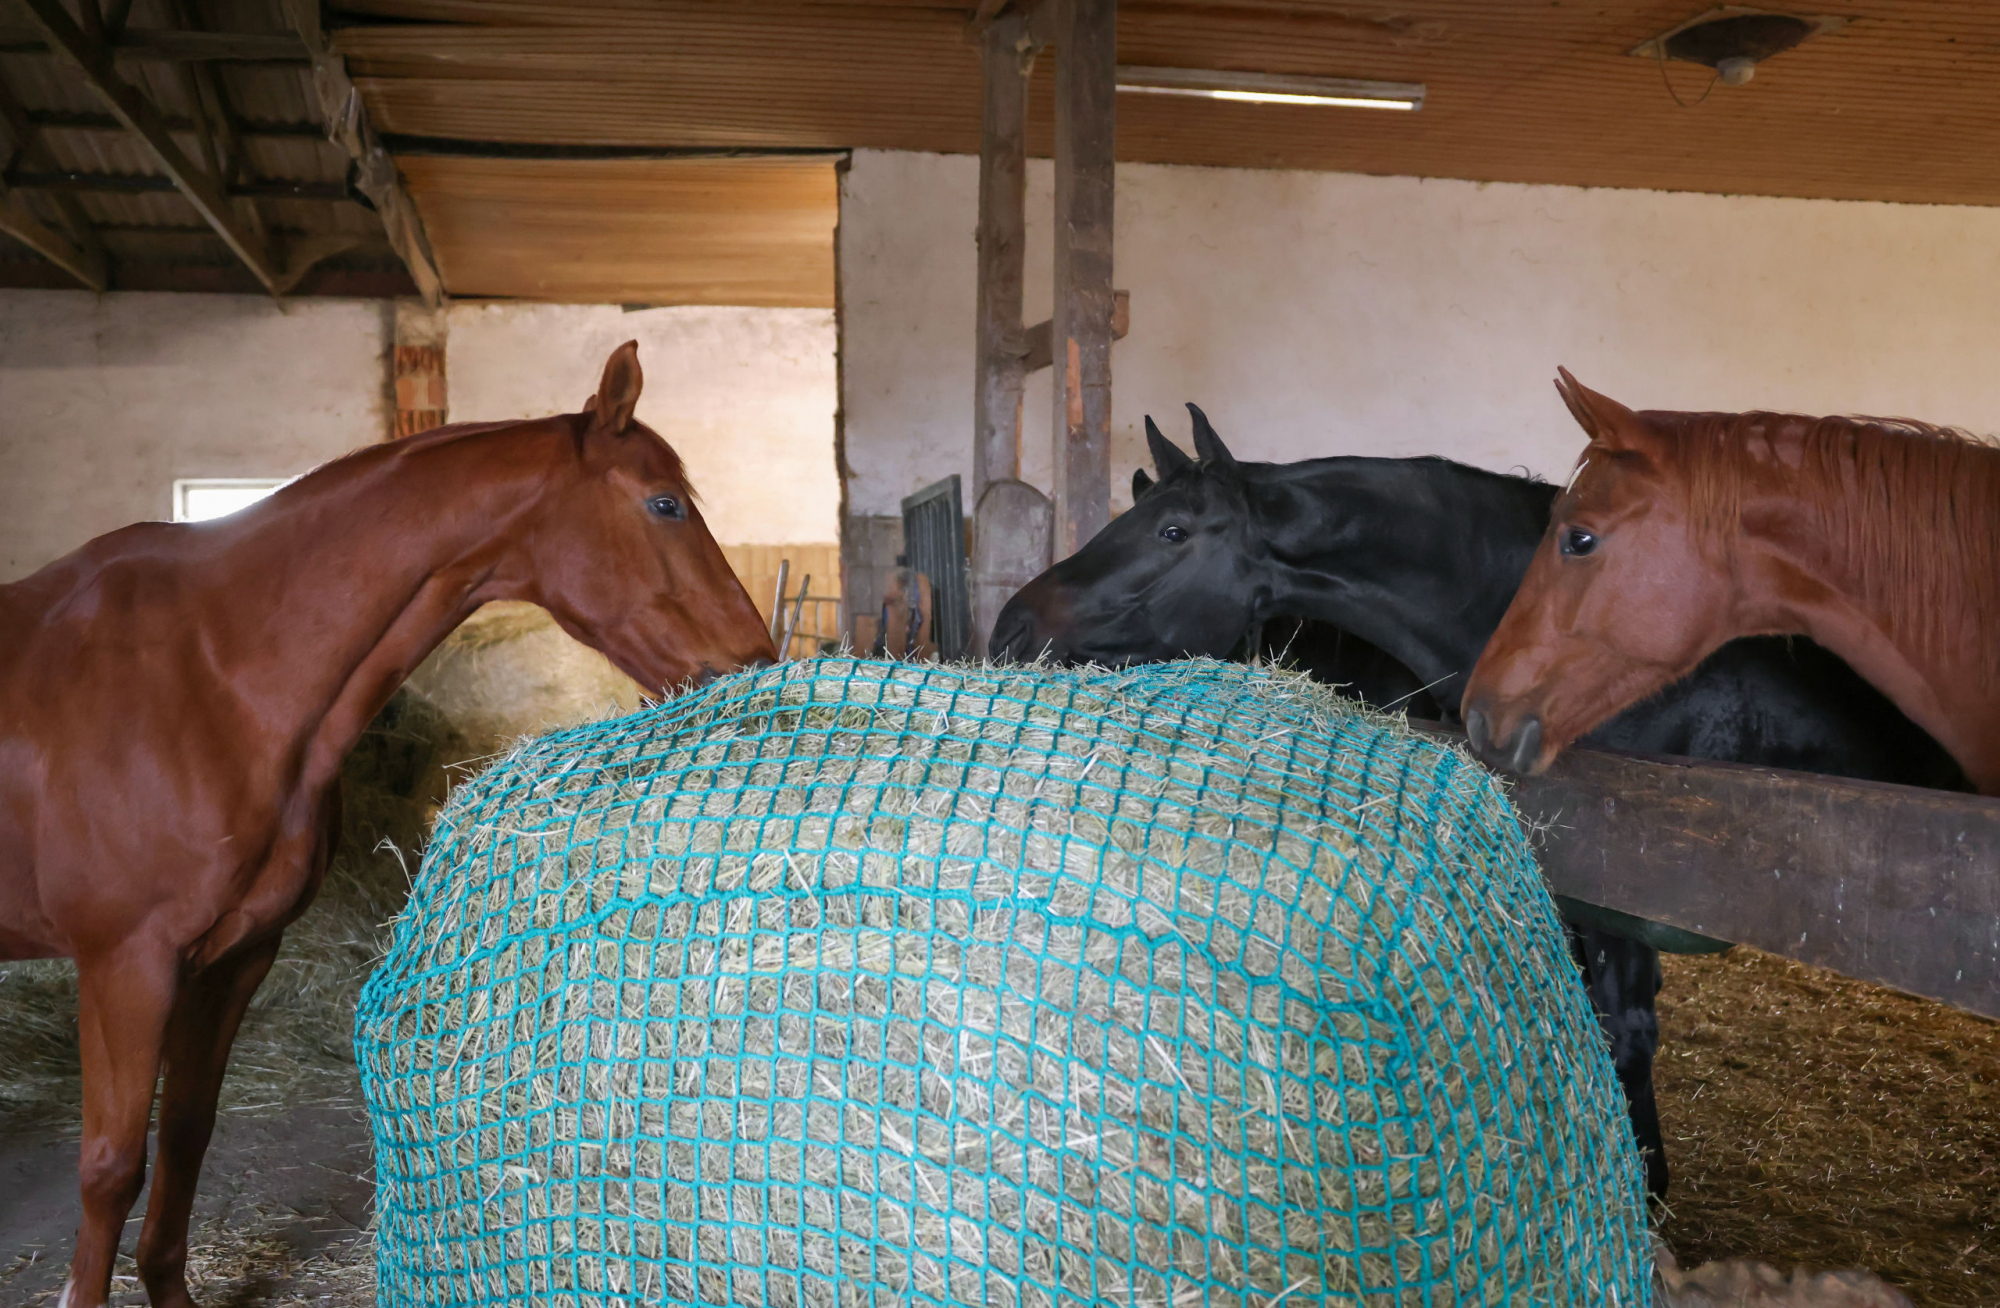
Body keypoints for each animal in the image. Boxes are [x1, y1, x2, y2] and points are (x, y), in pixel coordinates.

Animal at [0, 346, 772, 1308]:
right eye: (665, 503)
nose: (756, 658)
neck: (210, 673)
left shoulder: (232, 958)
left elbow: (185, 1137)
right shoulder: (125, 966)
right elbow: (110, 1167)